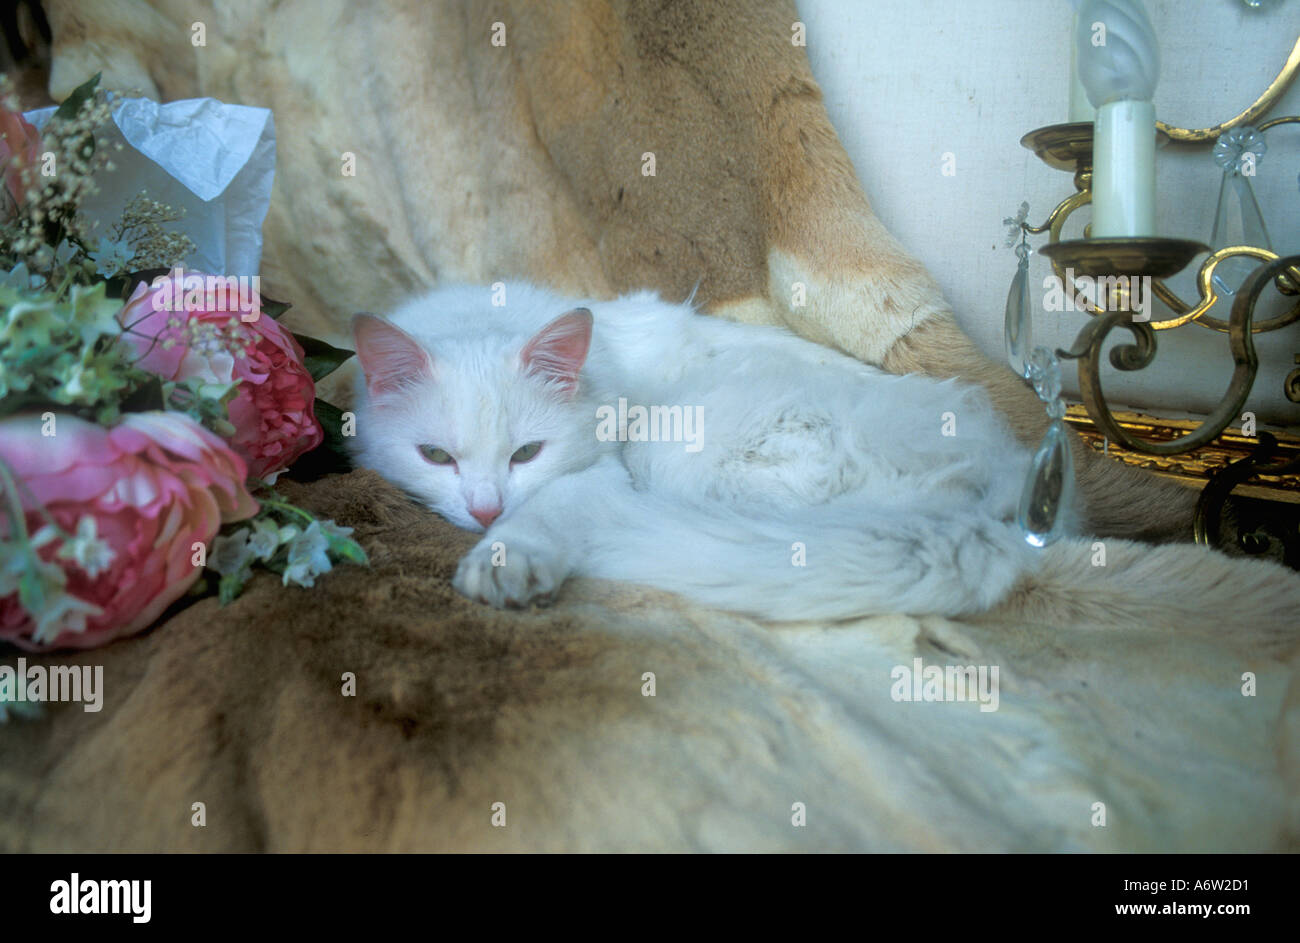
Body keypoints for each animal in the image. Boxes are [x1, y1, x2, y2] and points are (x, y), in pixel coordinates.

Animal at [351, 279, 1060, 621]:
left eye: (526, 453)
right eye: (436, 457)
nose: (486, 512)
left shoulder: (600, 471)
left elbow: (544, 518)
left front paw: (507, 564)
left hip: (674, 453)